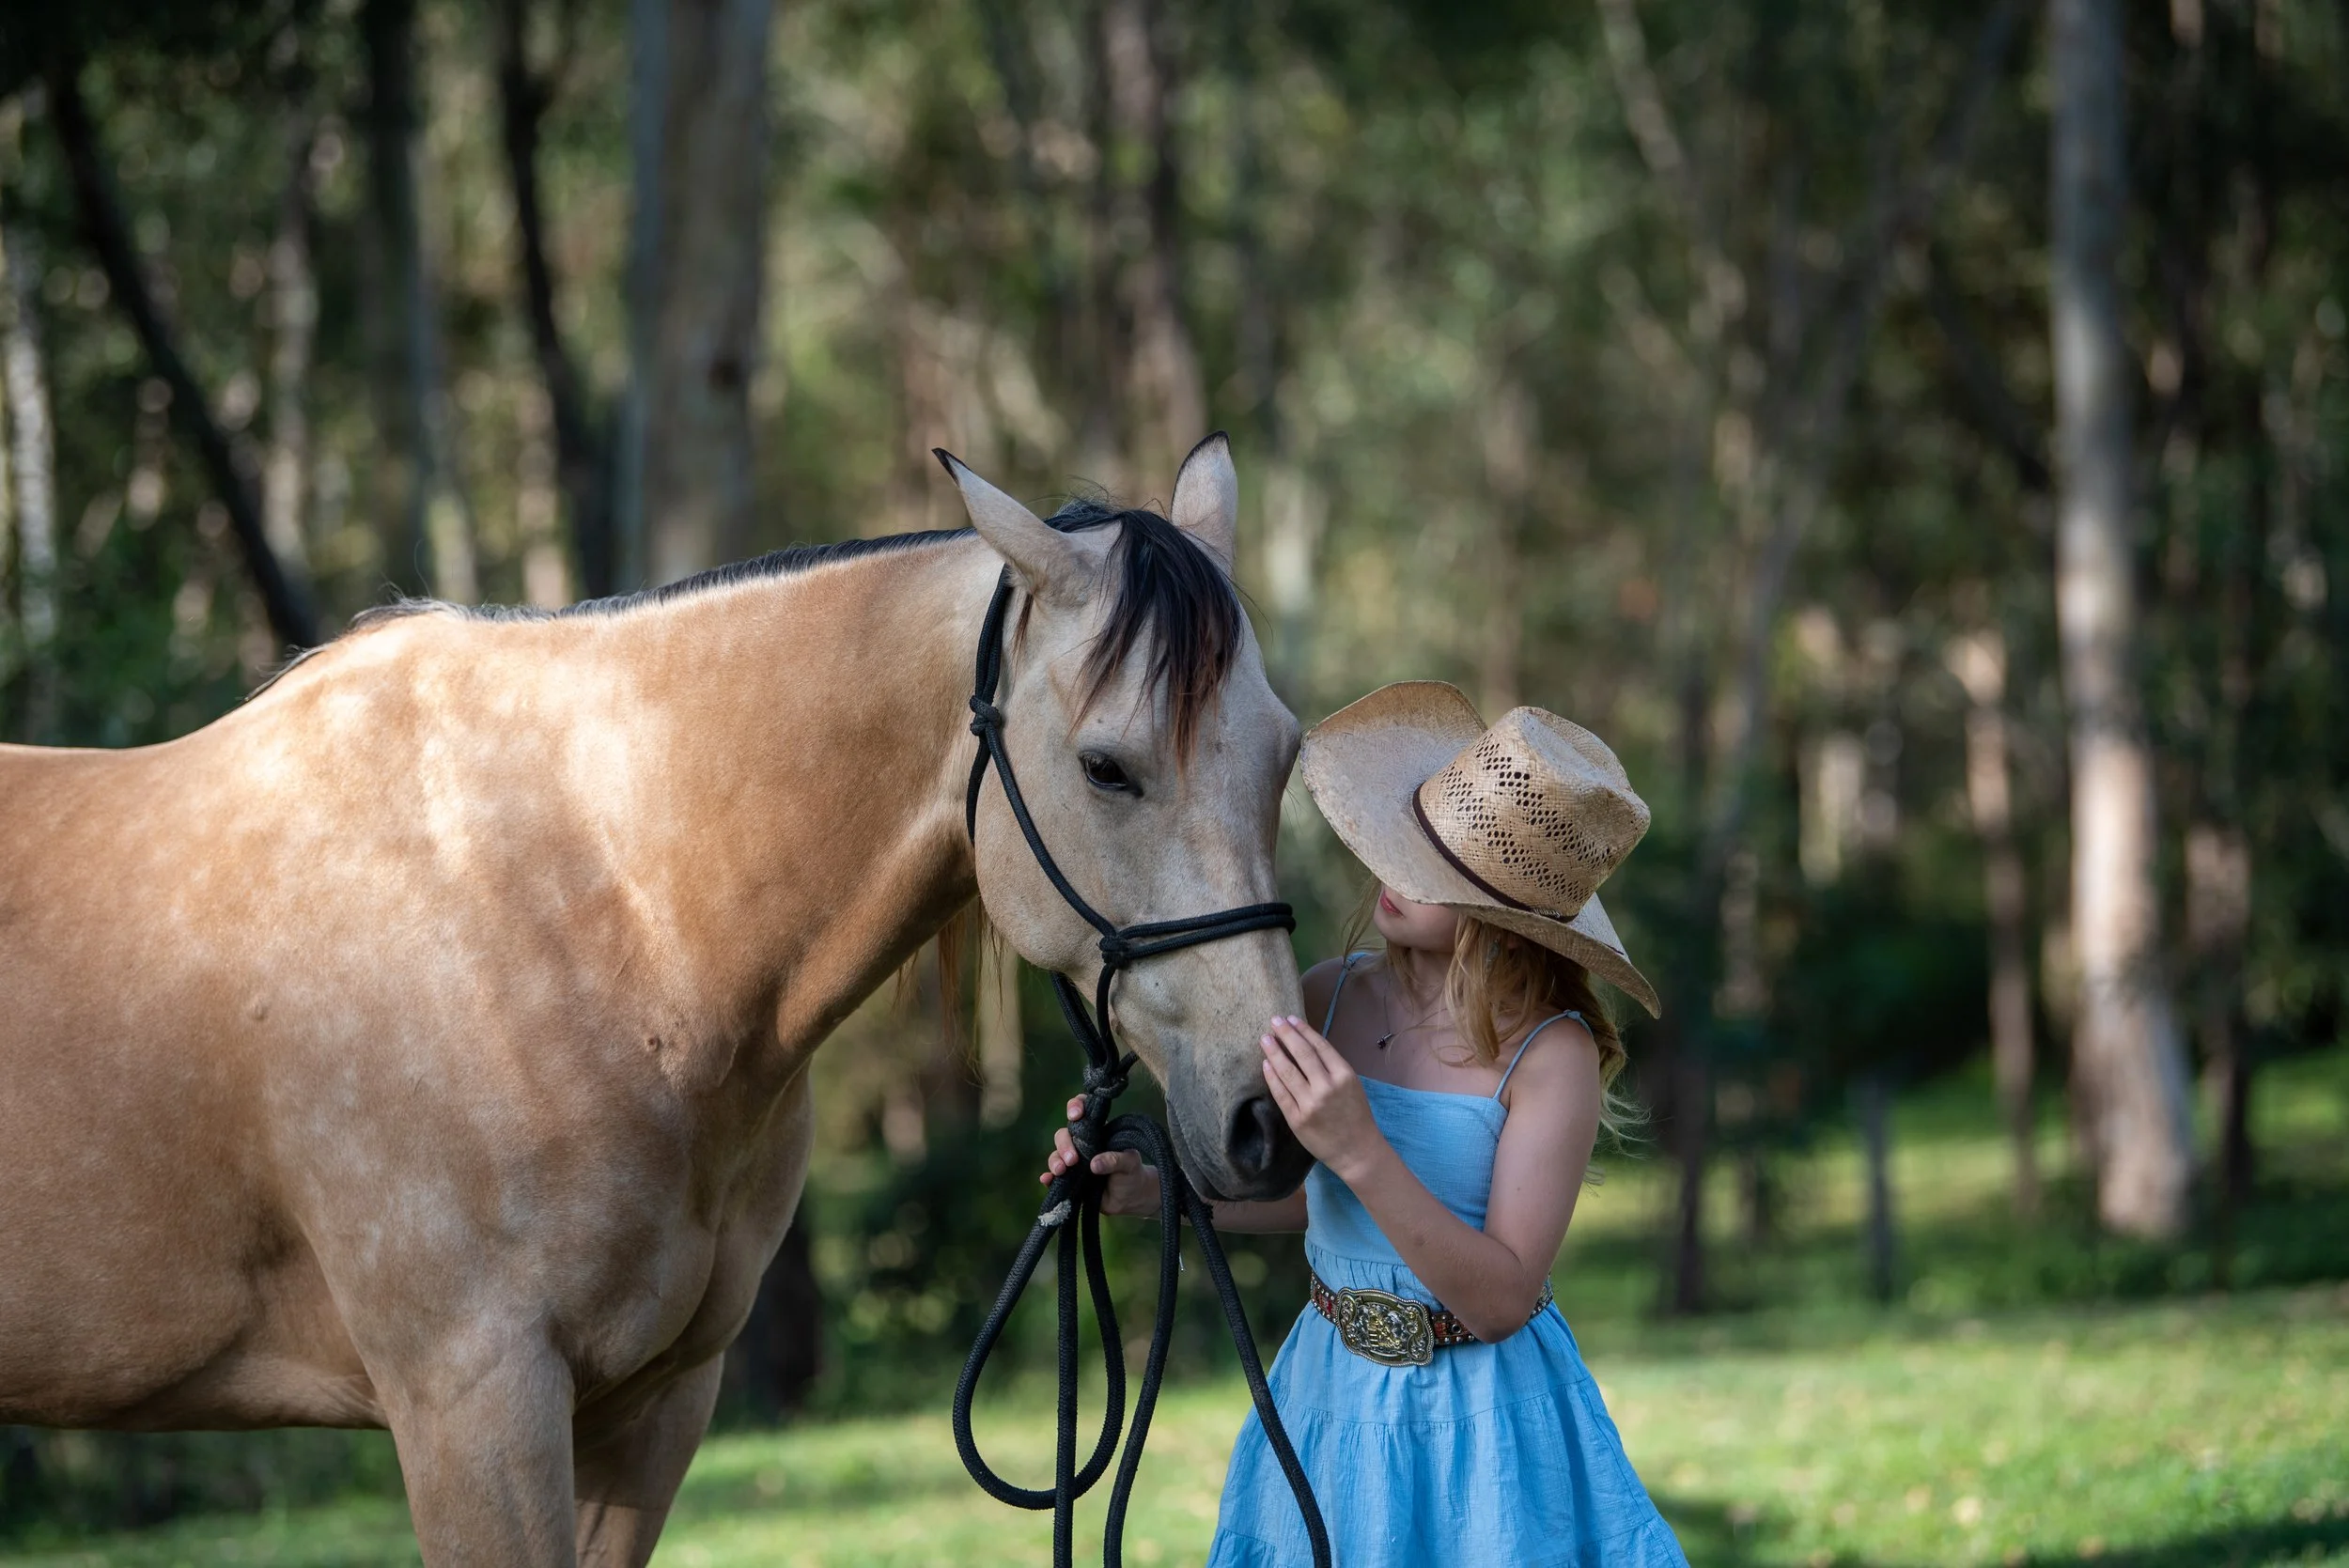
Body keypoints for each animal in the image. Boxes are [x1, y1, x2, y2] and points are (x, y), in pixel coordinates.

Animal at [0, 435, 1308, 1564]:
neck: (592, 911)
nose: (1269, 1116)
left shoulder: (656, 1405)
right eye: (1104, 766)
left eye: (1286, 751)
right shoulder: (472, 1408)